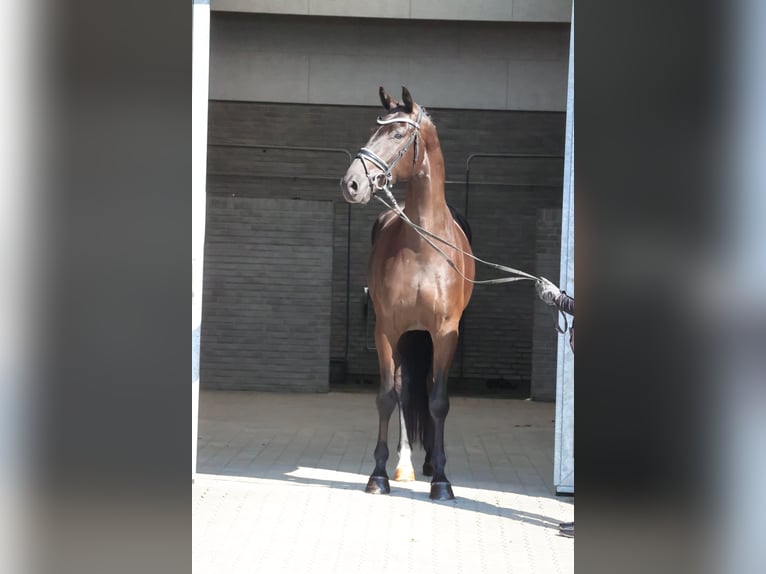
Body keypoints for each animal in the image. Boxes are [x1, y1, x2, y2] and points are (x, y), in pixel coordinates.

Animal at [340, 85, 474, 500]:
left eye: (399, 134)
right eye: (374, 129)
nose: (351, 183)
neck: (423, 244)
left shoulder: (445, 333)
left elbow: (438, 401)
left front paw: (443, 481)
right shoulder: (386, 330)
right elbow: (388, 397)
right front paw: (379, 475)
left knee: (428, 388)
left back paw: (431, 464)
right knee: (404, 391)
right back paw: (406, 465)